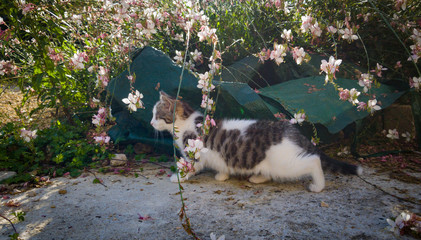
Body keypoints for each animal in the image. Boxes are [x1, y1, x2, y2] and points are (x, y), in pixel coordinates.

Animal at [150, 91, 360, 192]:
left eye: (157, 115)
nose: (150, 122)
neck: (186, 121)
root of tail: (291, 129)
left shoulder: (194, 153)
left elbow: (190, 166)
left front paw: (178, 177)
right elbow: (223, 166)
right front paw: (222, 175)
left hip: (285, 163)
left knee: (313, 161)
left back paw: (318, 186)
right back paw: (258, 177)